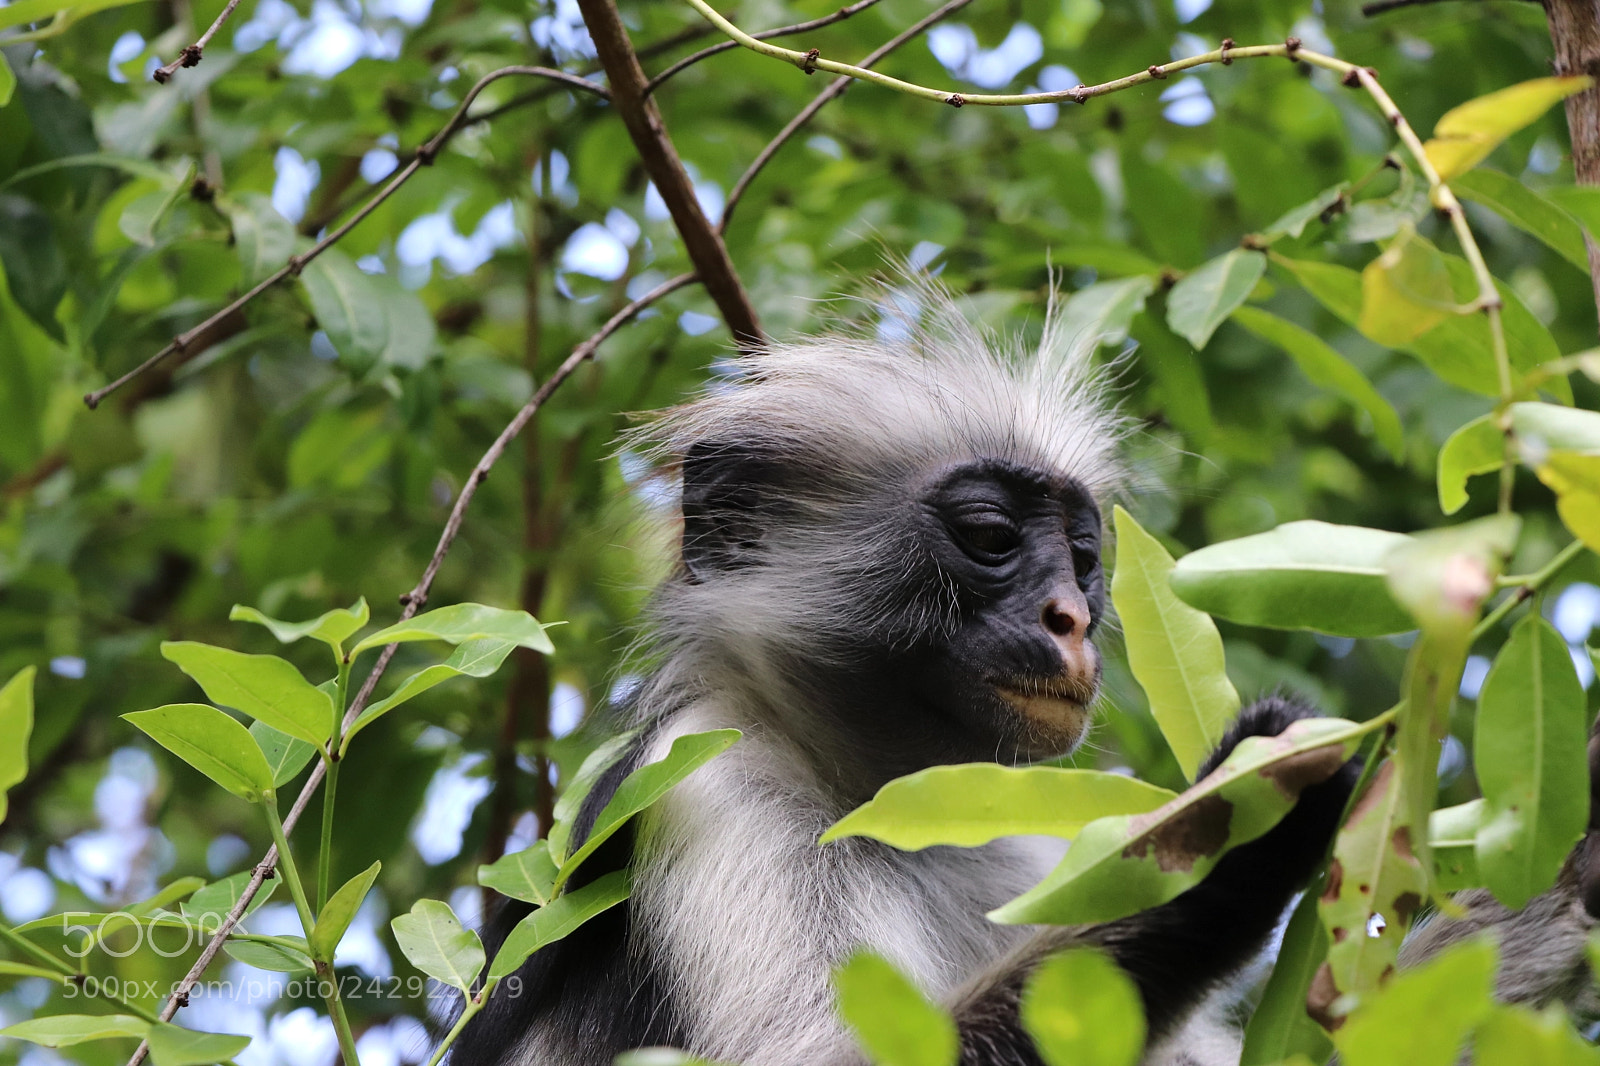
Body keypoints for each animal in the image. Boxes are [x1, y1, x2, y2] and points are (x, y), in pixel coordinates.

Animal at [445, 273, 1369, 1066]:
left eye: (1082, 560)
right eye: (992, 536)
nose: (1070, 620)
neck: (882, 795)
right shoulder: (713, 779)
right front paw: (1227, 828)